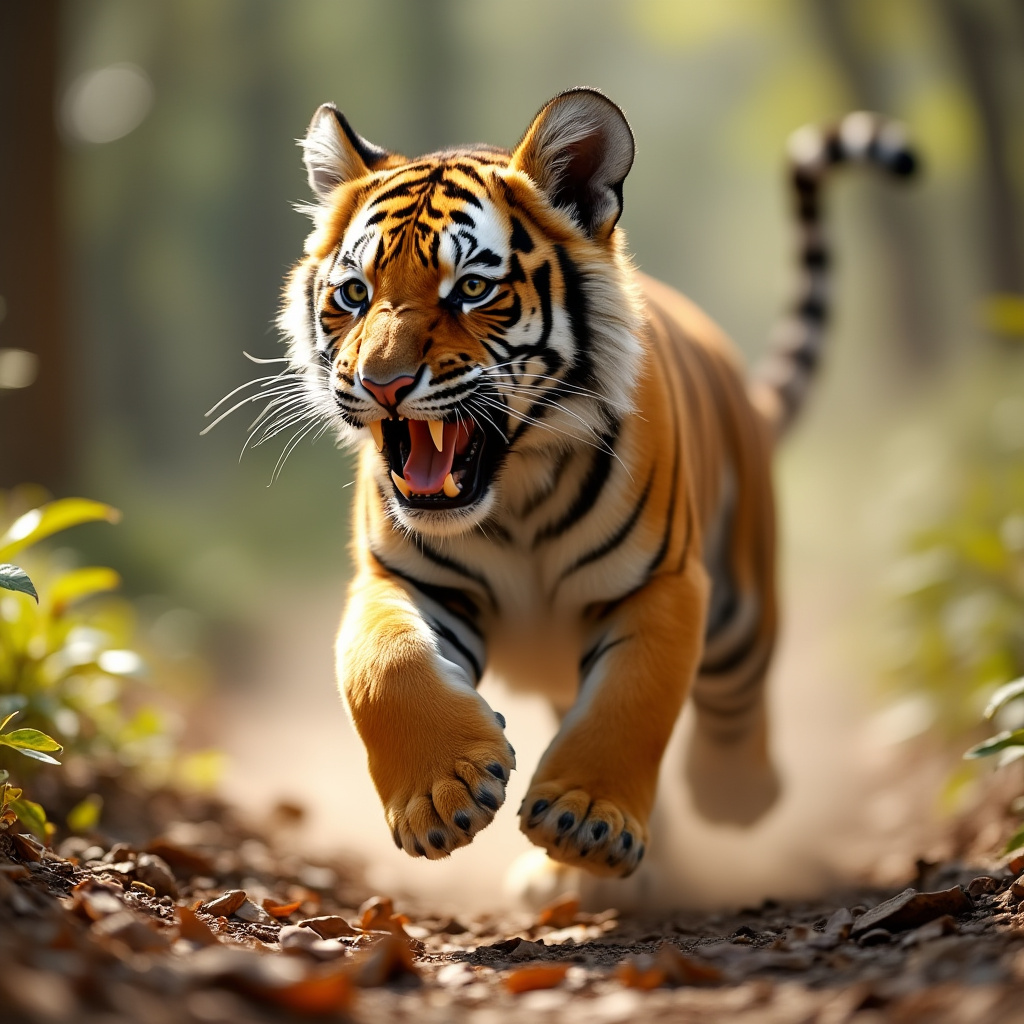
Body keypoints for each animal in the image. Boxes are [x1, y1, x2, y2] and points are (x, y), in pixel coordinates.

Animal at [278, 88, 916, 878]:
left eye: (472, 289)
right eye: (355, 293)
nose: (380, 383)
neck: (514, 491)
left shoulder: (663, 583)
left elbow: (633, 700)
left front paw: (586, 819)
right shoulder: (398, 578)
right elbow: (384, 664)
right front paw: (443, 792)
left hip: (741, 605)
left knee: (737, 694)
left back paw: (733, 790)